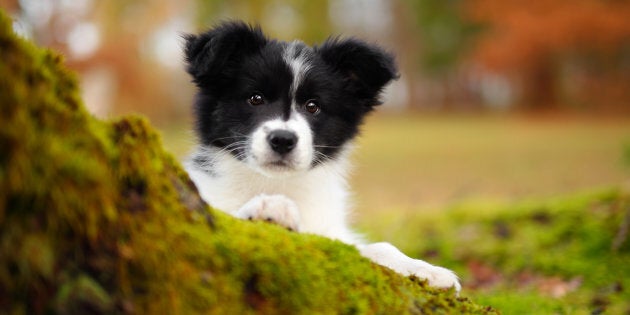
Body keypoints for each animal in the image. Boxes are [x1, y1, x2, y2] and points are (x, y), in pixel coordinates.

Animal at [183, 22, 464, 292]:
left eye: (313, 106)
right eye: (255, 98)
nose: (283, 139)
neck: (277, 182)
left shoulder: (330, 232)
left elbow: (377, 247)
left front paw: (425, 269)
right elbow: (225, 214)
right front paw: (268, 207)